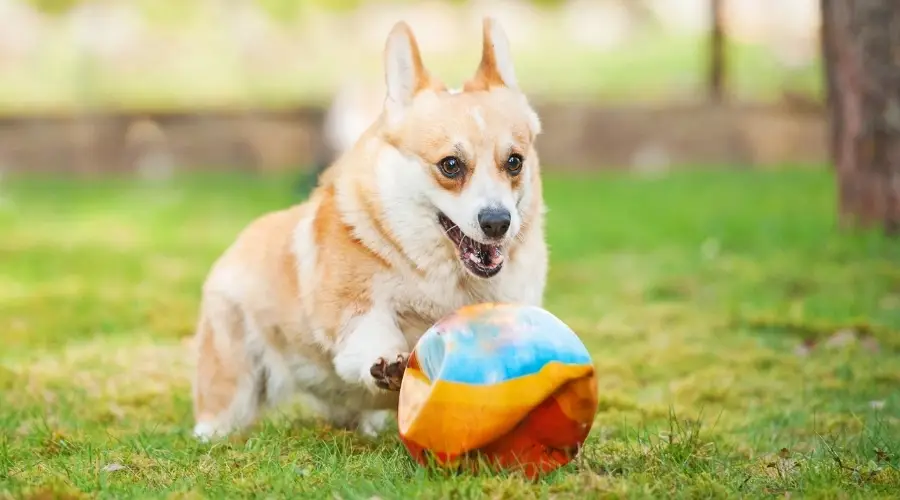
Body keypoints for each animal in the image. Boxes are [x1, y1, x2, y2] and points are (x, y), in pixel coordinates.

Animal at [192, 15, 548, 440]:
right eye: (450, 165)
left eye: (514, 162)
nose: (497, 222)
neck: (448, 280)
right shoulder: (353, 309)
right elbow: (372, 331)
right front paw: (390, 361)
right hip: (233, 371)